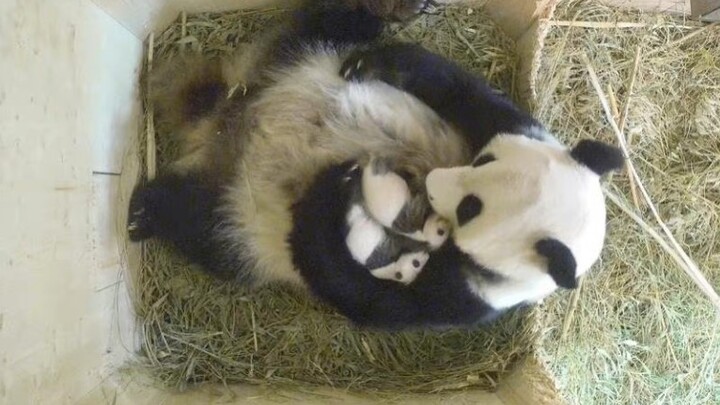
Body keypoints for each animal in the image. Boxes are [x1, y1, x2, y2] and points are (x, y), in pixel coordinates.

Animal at [128, 0, 624, 330]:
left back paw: (144, 211)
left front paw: (328, 194)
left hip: (243, 216)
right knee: (335, 19)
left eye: (469, 211)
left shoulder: (471, 295)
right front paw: (377, 63)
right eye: (482, 162)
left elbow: (374, 301)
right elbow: (460, 91)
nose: (431, 181)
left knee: (201, 225)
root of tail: (225, 122)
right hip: (308, 51)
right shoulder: (515, 127)